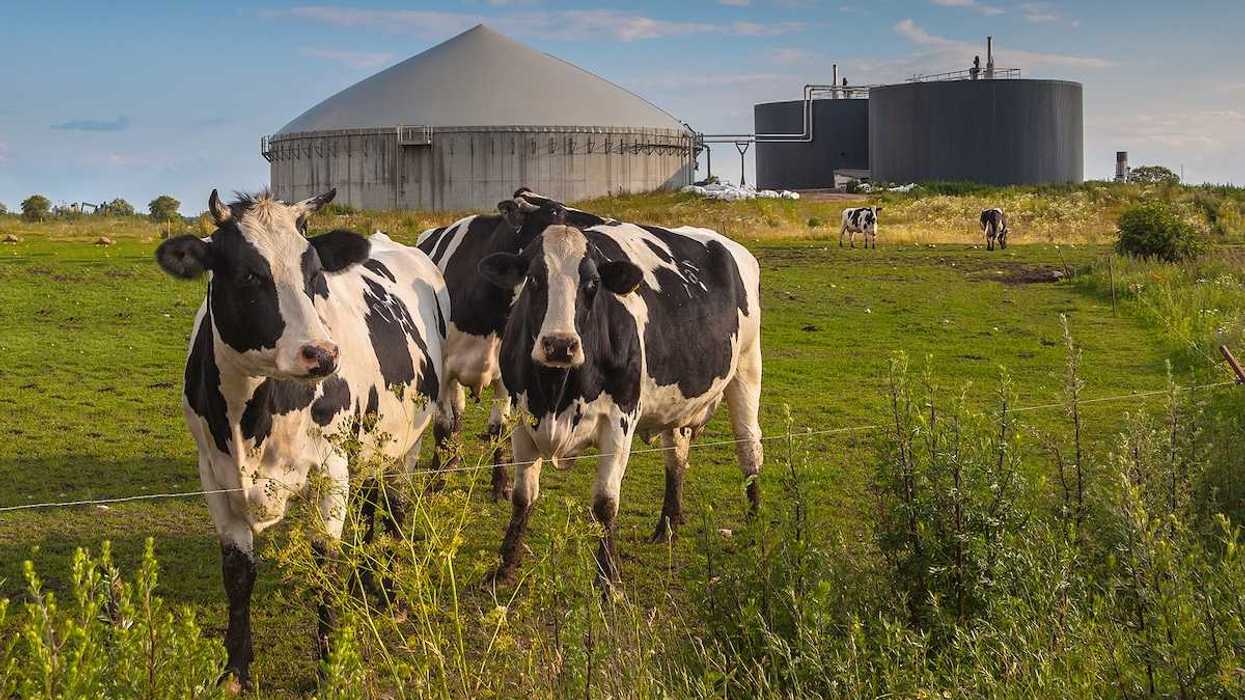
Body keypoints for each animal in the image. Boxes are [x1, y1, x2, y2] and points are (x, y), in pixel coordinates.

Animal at [154, 189, 450, 690]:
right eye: (249, 274)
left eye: (314, 274)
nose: (322, 354)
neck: (251, 419)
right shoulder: (213, 475)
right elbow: (237, 573)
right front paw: (235, 669)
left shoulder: (330, 470)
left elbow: (324, 562)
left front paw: (329, 666)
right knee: (370, 504)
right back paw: (365, 581)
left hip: (406, 444)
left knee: (393, 511)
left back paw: (389, 595)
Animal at [416, 189, 611, 501]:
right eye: (556, 212)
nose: (602, 223)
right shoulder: (443, 369)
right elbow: (443, 425)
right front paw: (437, 480)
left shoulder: (506, 374)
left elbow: (499, 428)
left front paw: (502, 483)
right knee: (454, 416)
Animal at [478, 220, 764, 585]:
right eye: (534, 279)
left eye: (592, 284)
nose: (560, 345)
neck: (557, 394)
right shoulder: (521, 417)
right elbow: (522, 497)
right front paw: (504, 567)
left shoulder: (620, 421)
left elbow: (605, 503)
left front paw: (608, 578)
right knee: (676, 457)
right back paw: (667, 526)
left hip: (747, 367)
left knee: (749, 447)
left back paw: (754, 524)